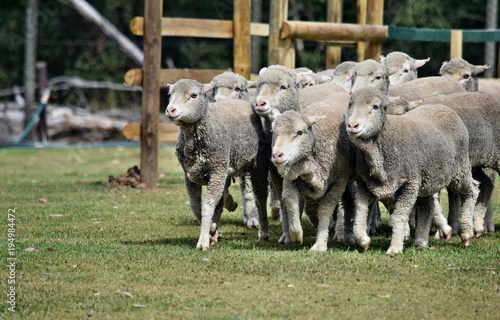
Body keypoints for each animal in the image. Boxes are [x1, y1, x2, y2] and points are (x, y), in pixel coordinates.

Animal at [166, 79, 270, 249]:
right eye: (170, 94)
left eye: (193, 95)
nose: (170, 110)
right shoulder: (190, 176)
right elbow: (196, 207)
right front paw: (212, 230)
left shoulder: (216, 172)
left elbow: (207, 206)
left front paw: (203, 240)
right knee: (222, 200)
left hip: (257, 163)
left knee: (260, 196)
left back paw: (263, 231)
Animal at [346, 87, 478, 252]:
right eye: (350, 104)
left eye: (375, 106)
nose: (352, 125)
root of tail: (443, 107)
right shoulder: (365, 183)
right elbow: (360, 212)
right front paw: (363, 241)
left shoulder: (410, 183)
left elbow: (399, 216)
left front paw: (395, 248)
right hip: (427, 179)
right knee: (427, 207)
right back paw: (421, 241)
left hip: (459, 169)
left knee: (472, 190)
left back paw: (466, 234)